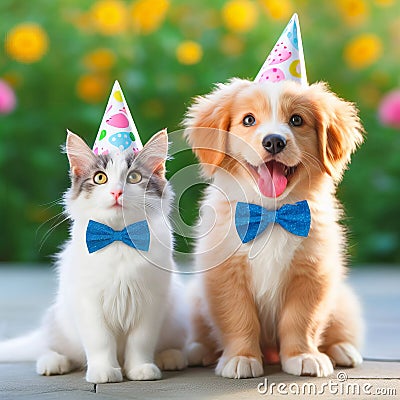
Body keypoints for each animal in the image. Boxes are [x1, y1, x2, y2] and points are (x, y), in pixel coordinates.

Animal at [0, 130, 188, 382]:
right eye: (100, 178)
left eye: (134, 177)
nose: (117, 192)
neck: (118, 237)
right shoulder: (87, 302)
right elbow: (100, 341)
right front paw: (103, 371)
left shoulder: (151, 301)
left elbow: (141, 341)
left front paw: (140, 368)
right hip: (58, 319)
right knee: (51, 347)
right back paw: (53, 362)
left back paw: (171, 356)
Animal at [184, 78, 366, 378]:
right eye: (248, 120)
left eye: (296, 120)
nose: (273, 141)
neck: (273, 213)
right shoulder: (225, 275)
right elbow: (238, 318)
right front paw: (241, 357)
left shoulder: (313, 273)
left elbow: (301, 320)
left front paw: (303, 356)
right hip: (196, 301)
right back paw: (196, 351)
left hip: (341, 299)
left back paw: (342, 349)